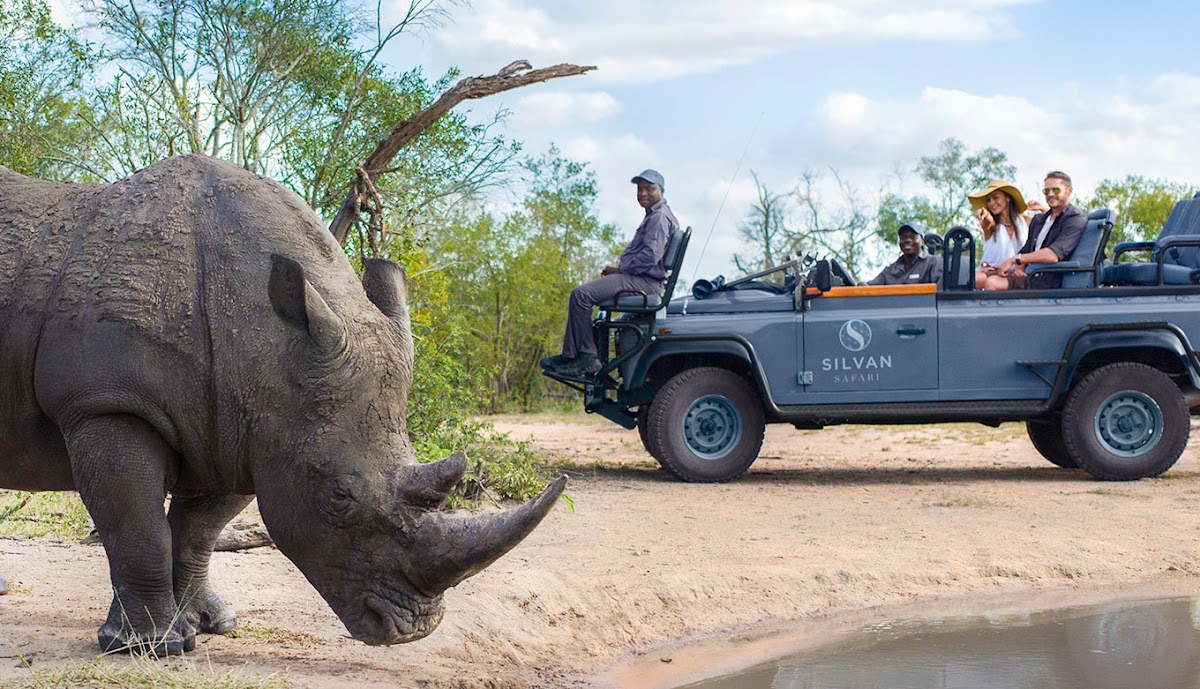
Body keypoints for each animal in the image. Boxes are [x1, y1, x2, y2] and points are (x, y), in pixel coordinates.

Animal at [0, 155, 564, 653]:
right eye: (340, 497)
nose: (412, 630)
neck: (263, 345)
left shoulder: (237, 425)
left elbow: (196, 533)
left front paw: (209, 625)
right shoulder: (107, 402)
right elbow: (139, 530)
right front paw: (152, 647)